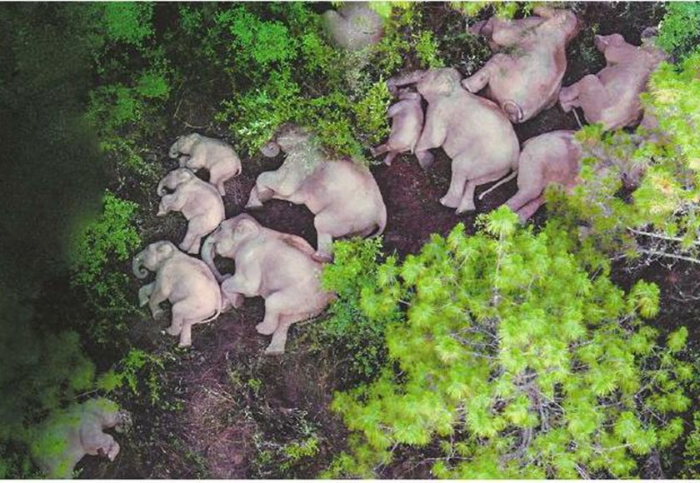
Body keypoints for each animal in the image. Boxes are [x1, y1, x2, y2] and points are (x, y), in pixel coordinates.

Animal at [202, 214, 335, 355]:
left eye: (220, 228)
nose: (225, 274)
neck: (258, 229)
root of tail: (330, 295)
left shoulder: (247, 257)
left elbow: (249, 287)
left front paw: (238, 302)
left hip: (301, 296)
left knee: (272, 302)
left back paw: (261, 329)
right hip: (311, 307)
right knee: (287, 318)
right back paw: (274, 351)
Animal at [245, 124, 387, 262]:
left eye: (288, 128)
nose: (271, 143)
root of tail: (381, 216)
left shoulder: (302, 158)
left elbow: (283, 186)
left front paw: (262, 197)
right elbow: (291, 195)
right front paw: (257, 203)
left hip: (343, 215)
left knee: (320, 223)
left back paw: (319, 257)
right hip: (362, 227)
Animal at [387, 68, 520, 214]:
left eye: (423, 77)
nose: (394, 90)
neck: (455, 88)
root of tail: (515, 159)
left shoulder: (439, 110)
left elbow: (435, 139)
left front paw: (426, 163)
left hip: (486, 158)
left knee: (459, 166)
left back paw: (445, 203)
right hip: (498, 169)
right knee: (473, 180)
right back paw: (465, 211)